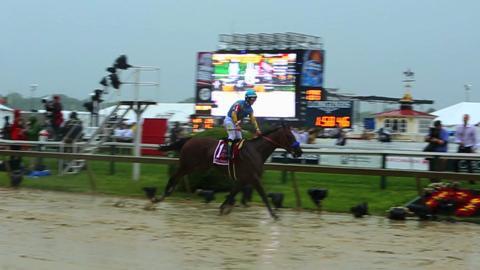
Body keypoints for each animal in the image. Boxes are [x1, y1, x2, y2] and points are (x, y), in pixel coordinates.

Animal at [156, 125, 302, 218]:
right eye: (289, 136)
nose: (299, 152)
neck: (256, 151)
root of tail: (191, 138)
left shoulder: (243, 179)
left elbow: (233, 193)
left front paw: (224, 208)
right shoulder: (253, 178)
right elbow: (264, 196)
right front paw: (274, 215)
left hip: (197, 167)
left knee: (178, 177)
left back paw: (166, 194)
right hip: (187, 164)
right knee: (174, 177)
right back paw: (159, 198)